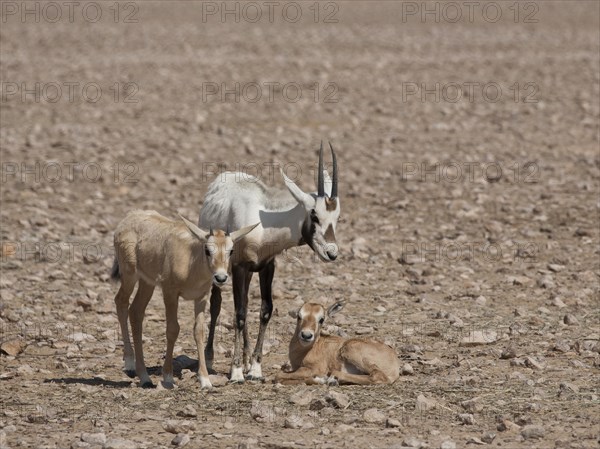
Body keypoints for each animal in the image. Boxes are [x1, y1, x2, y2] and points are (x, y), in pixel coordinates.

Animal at [112, 210, 258, 388]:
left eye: (230, 250)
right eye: (207, 249)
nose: (221, 278)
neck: (191, 262)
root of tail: (129, 218)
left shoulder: (201, 298)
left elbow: (199, 331)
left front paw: (205, 380)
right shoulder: (170, 293)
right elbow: (172, 329)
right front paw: (168, 377)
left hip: (147, 283)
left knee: (136, 311)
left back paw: (145, 377)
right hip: (130, 275)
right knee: (121, 301)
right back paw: (130, 364)